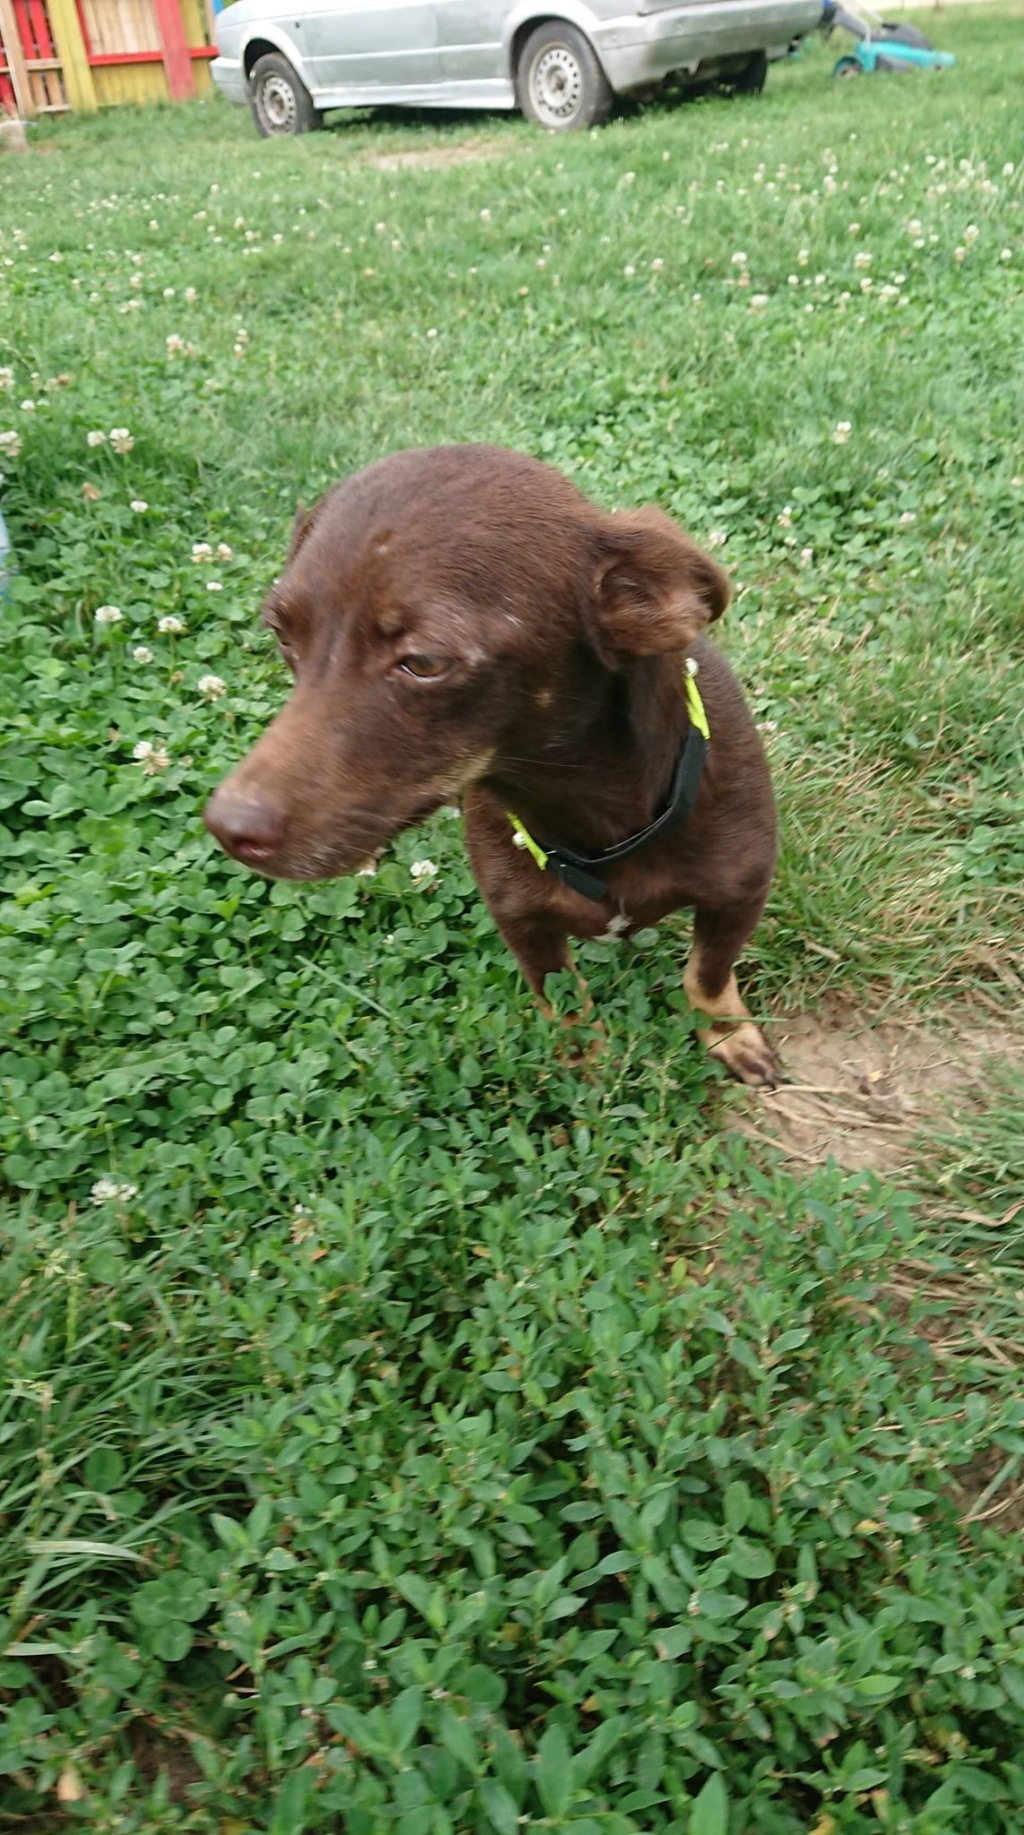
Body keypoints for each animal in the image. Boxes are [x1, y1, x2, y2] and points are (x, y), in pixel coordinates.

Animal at [206, 442, 778, 1078]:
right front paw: (585, 1061)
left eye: (425, 662)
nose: (226, 828)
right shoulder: (522, 922)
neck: (597, 824)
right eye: (283, 635)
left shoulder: (740, 895)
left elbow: (707, 975)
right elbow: (564, 1000)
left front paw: (729, 1034)